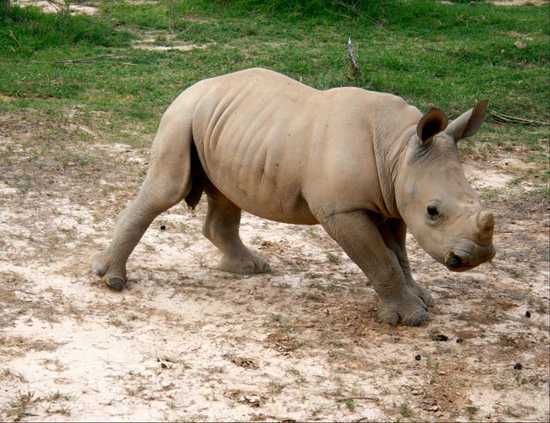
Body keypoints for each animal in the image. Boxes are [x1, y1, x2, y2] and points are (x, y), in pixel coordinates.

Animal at [92, 68, 498, 328]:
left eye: (476, 200)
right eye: (433, 211)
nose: (475, 258)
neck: (398, 150)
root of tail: (192, 87)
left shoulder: (393, 202)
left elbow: (400, 255)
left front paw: (421, 299)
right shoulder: (343, 210)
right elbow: (381, 260)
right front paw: (409, 318)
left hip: (228, 126)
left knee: (226, 193)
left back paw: (251, 269)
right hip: (181, 116)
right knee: (167, 189)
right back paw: (112, 281)